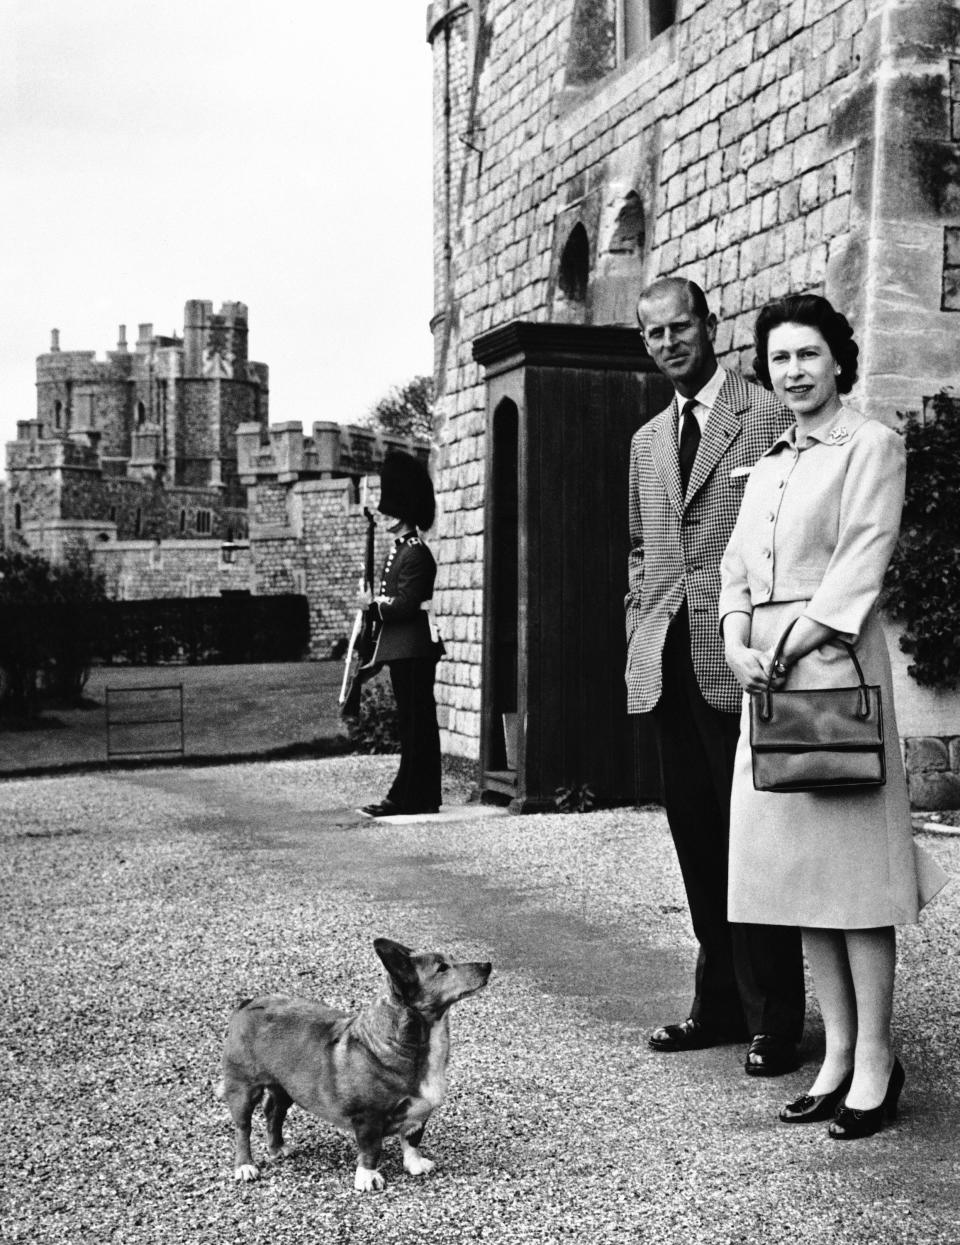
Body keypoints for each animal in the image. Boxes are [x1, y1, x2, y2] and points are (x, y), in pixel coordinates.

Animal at [215, 936, 488, 1190]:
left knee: (274, 1112)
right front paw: (368, 1178)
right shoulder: (368, 1118)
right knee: (243, 1128)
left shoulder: (419, 1114)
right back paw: (245, 1167)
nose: (488, 965)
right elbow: (370, 1150)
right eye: (442, 968)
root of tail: (248, 1003)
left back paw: (278, 1148)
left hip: (286, 1087)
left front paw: (416, 1164)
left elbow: (412, 1140)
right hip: (243, 1088)